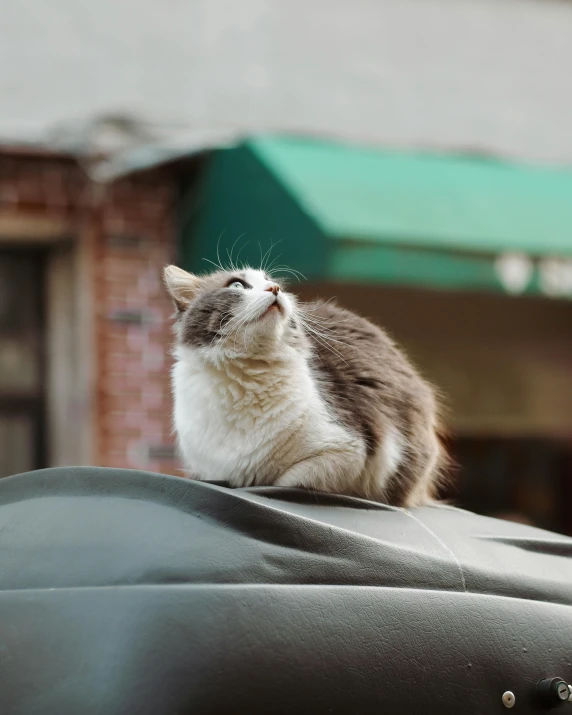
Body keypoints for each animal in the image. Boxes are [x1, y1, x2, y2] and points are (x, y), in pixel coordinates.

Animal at [163, 264, 444, 510]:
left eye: (270, 281)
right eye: (237, 285)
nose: (275, 288)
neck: (246, 380)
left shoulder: (348, 451)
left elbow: (285, 481)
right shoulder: (207, 468)